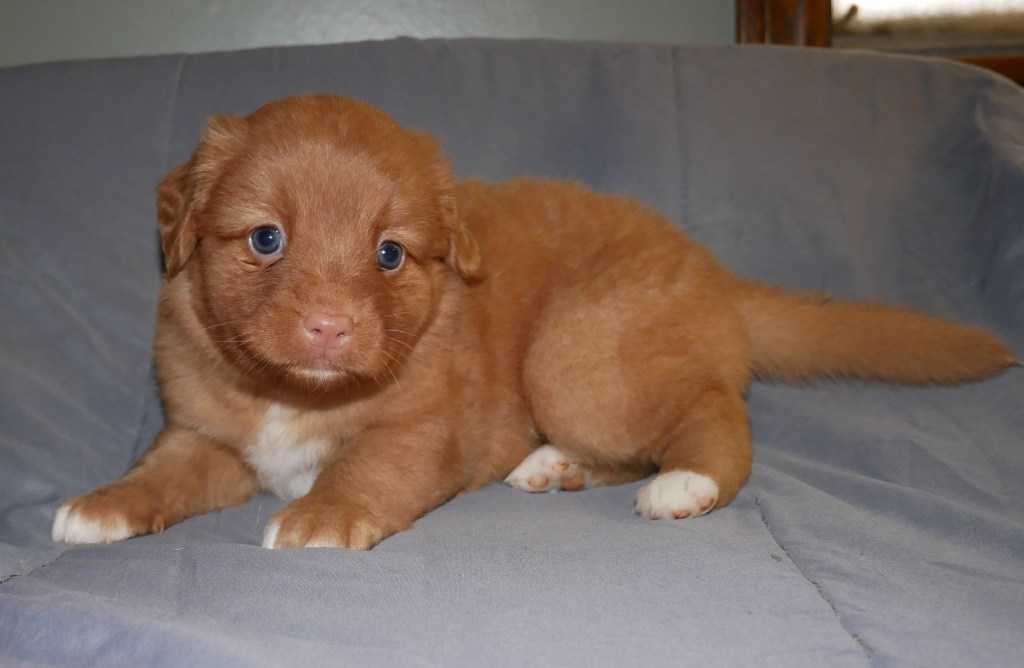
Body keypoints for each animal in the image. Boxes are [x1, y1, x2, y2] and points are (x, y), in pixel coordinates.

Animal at [51, 94, 1018, 550]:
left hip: (577, 355)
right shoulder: (207, 435)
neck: (296, 394)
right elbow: (158, 473)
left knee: (716, 410)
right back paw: (557, 467)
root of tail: (714, 275)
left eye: (390, 254)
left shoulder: (423, 428)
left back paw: (687, 483)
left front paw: (321, 516)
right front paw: (102, 505)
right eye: (265, 238)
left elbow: (363, 470)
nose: (328, 328)